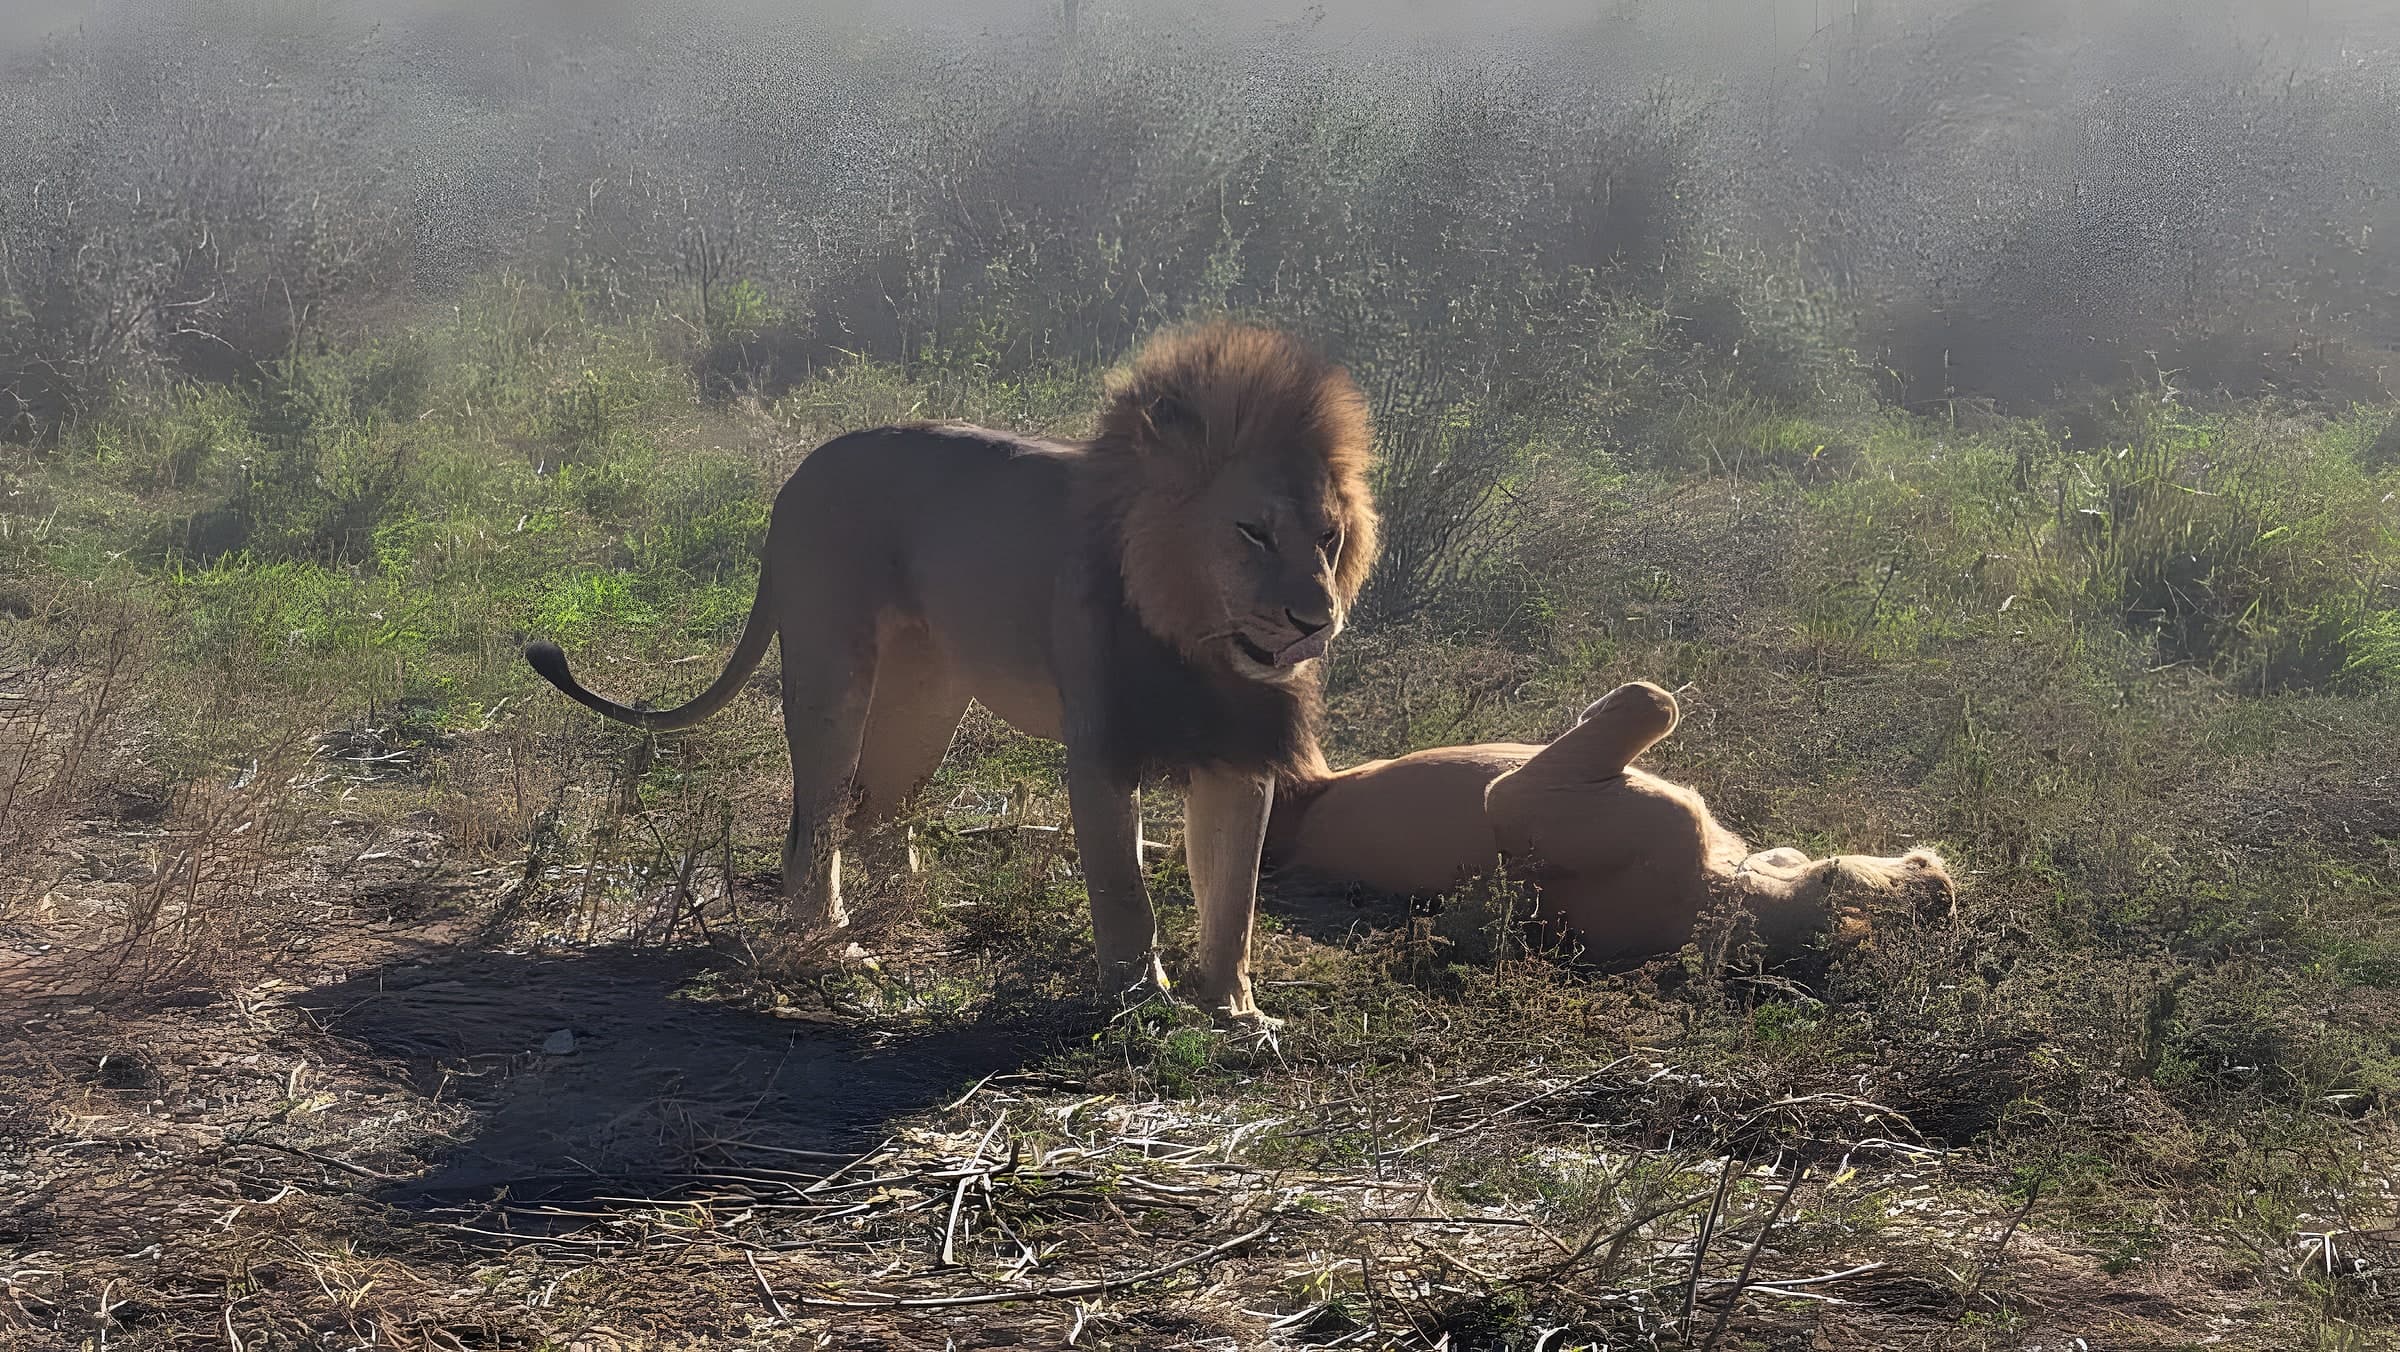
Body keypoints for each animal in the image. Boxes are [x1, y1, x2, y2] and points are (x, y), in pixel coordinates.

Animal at [524, 322, 1376, 1027]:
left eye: (1328, 537)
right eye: (1253, 532)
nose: (1316, 621)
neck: (1200, 643)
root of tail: (801, 472)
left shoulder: (1243, 755)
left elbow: (1235, 898)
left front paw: (1238, 1013)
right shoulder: (1100, 745)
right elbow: (1124, 889)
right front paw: (1141, 998)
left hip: (927, 697)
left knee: (875, 812)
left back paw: (913, 908)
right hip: (831, 673)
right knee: (813, 825)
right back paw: (838, 946)